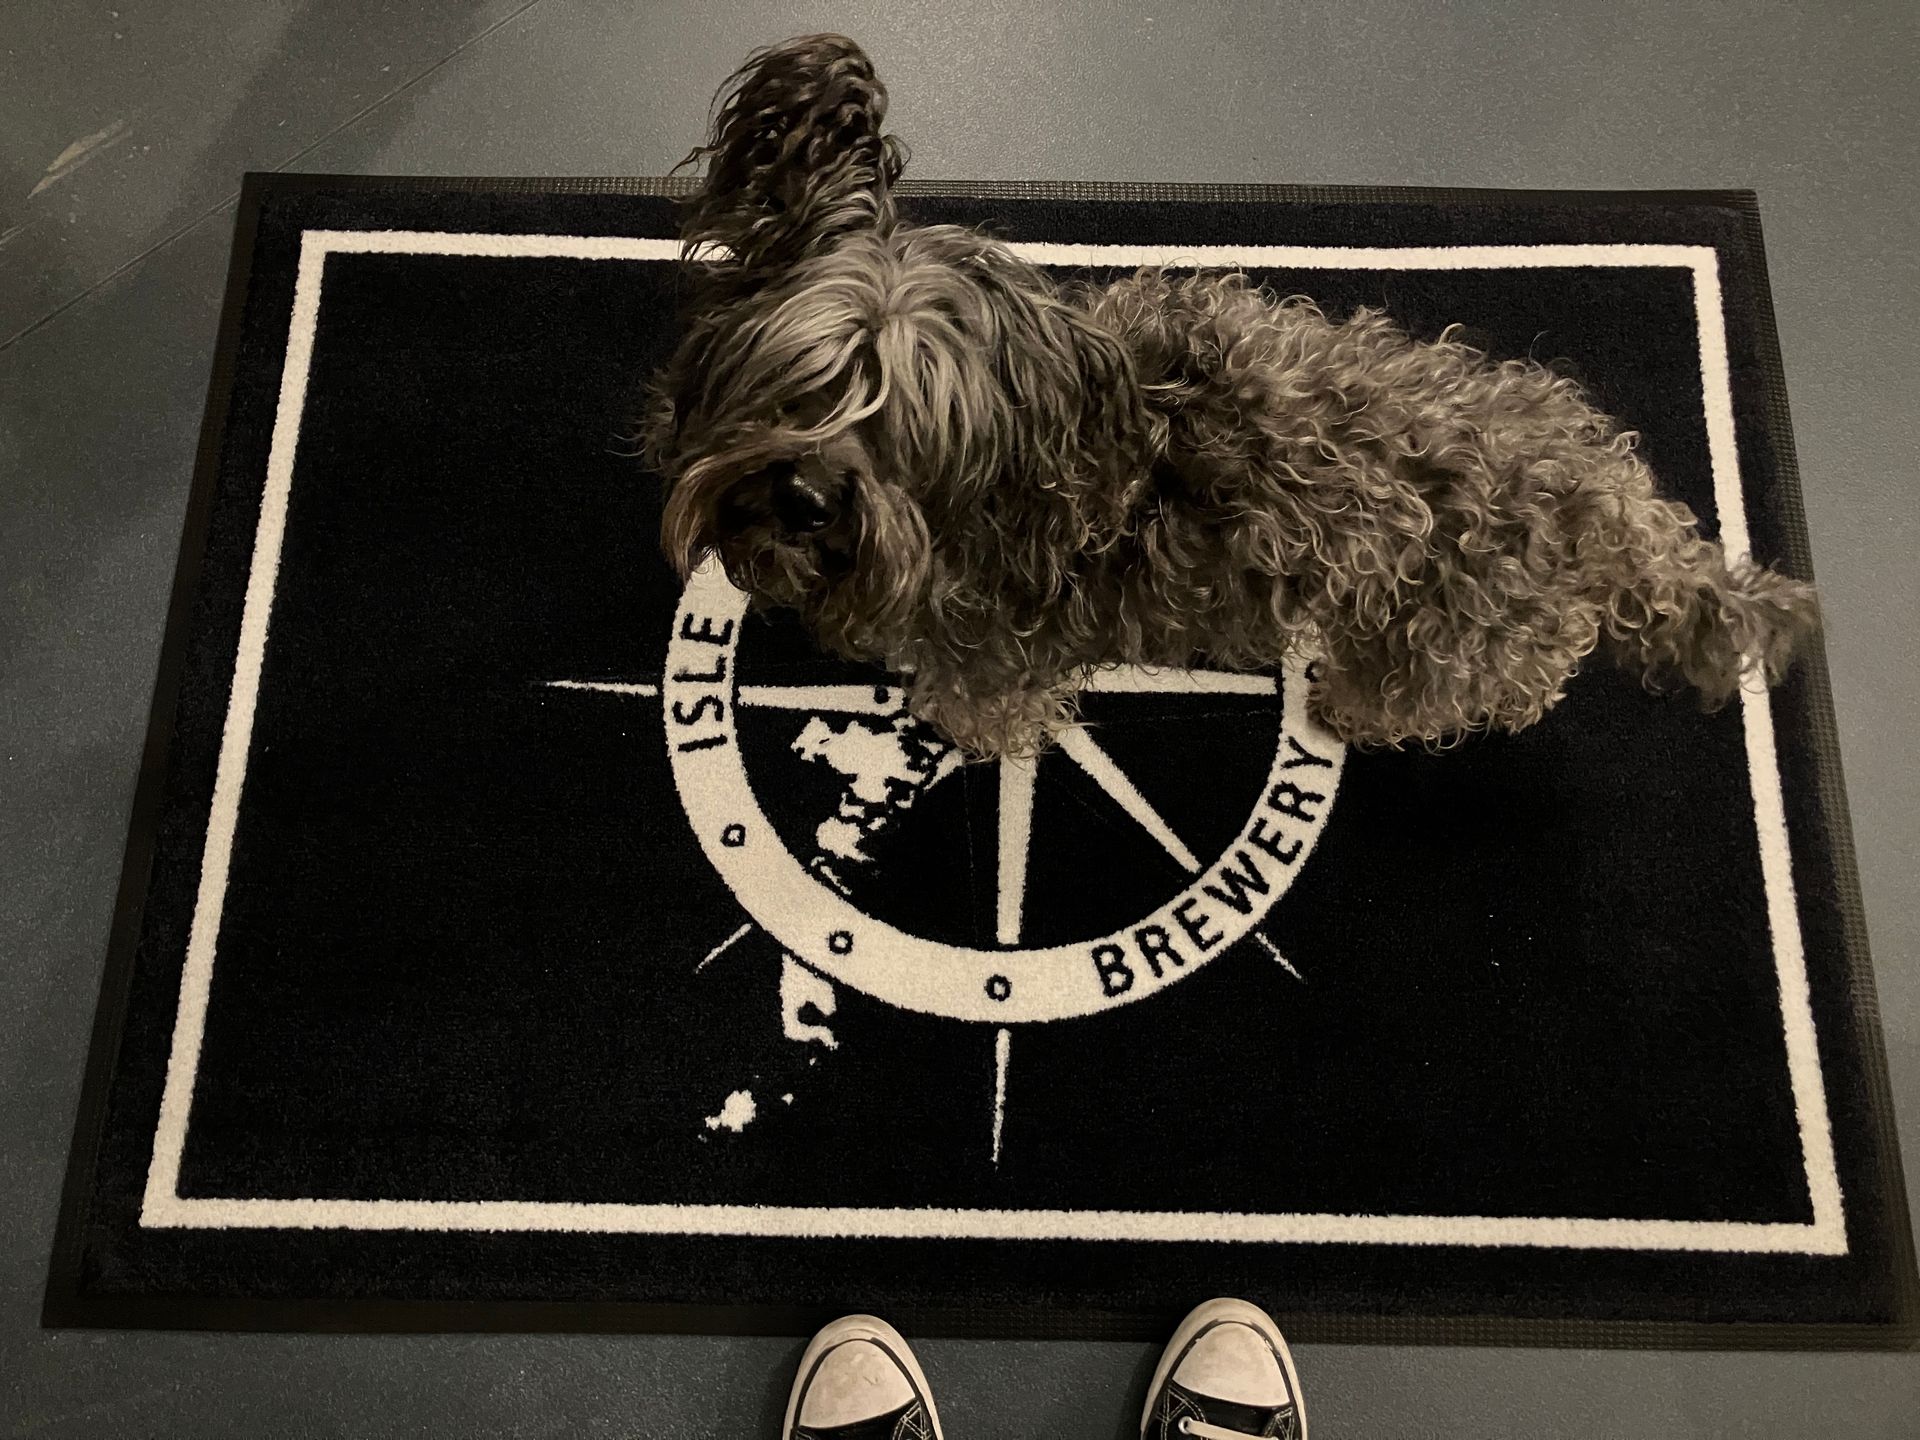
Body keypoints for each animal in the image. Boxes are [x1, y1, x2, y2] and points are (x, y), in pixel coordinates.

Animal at [644, 33, 1820, 759]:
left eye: (908, 430)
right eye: (805, 384)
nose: (804, 497)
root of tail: (1607, 508)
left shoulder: (997, 662)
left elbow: (984, 710)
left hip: (1438, 642)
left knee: (1468, 691)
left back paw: (1349, 708)